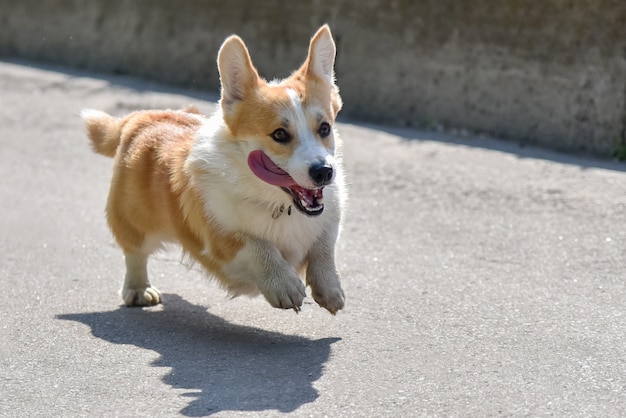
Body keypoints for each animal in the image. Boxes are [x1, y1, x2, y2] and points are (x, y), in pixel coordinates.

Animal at [80, 25, 344, 314]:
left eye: (325, 128)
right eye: (280, 134)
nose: (323, 172)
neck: (277, 203)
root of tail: (142, 116)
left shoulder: (329, 221)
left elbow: (324, 248)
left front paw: (330, 289)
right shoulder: (221, 240)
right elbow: (258, 247)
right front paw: (283, 284)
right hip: (133, 217)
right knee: (134, 251)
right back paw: (138, 289)